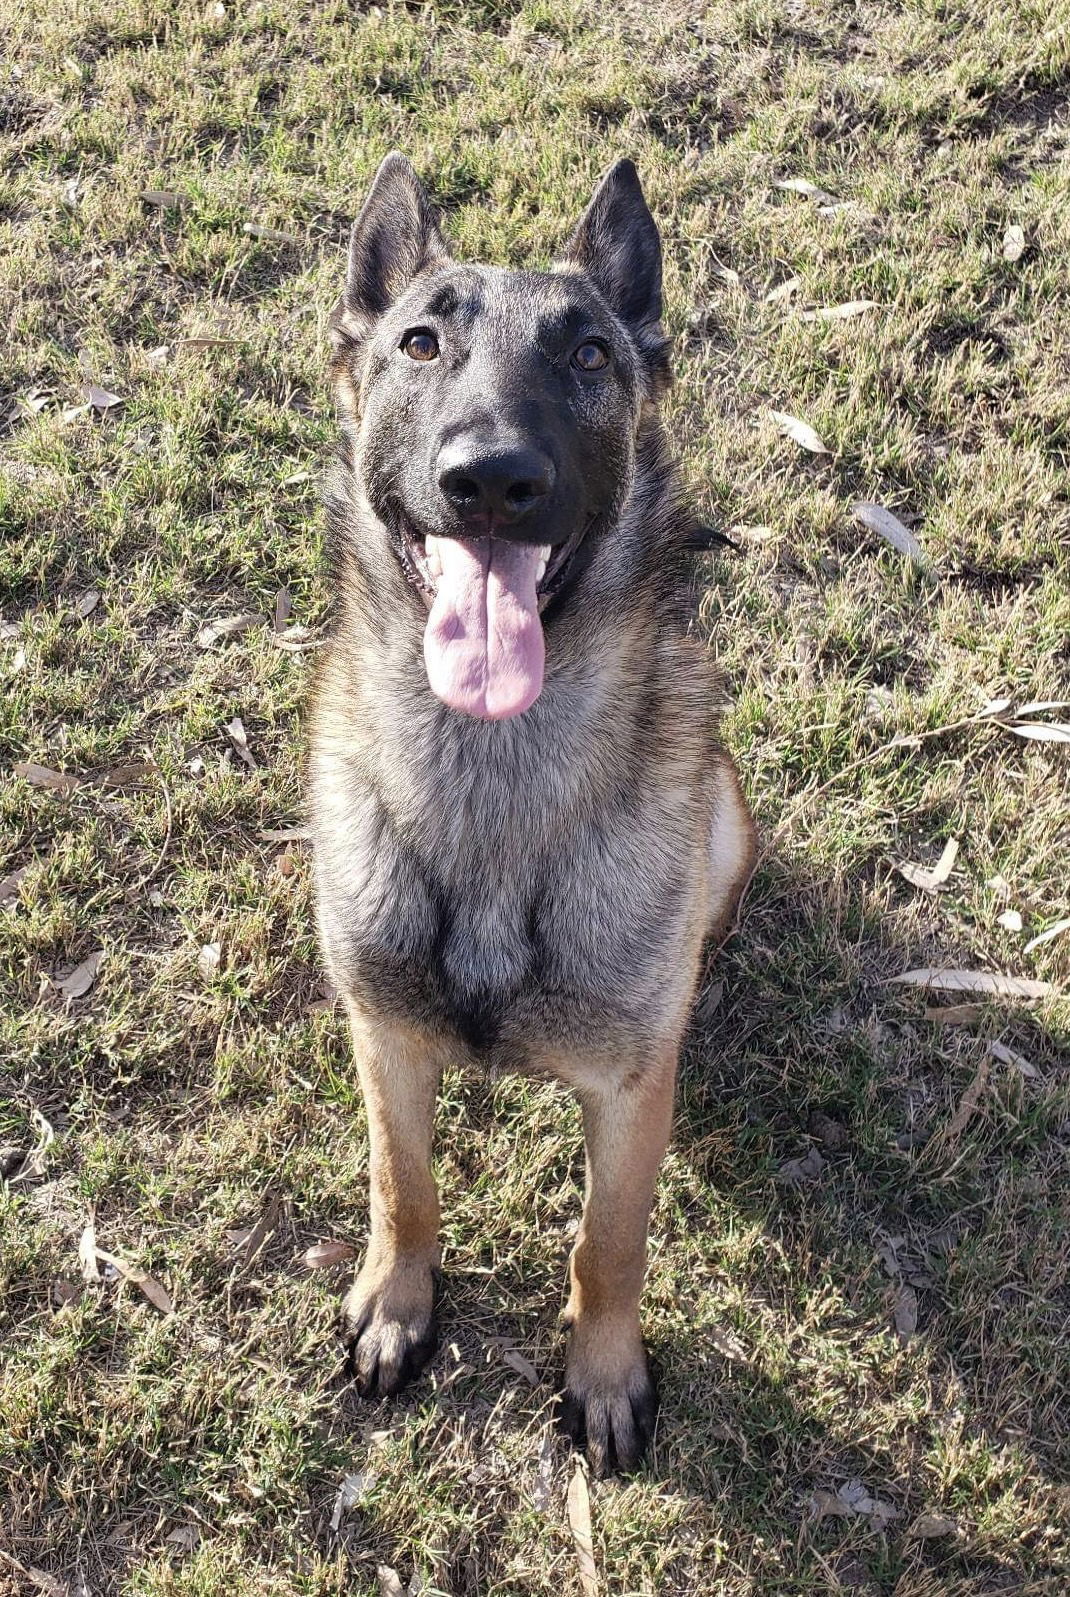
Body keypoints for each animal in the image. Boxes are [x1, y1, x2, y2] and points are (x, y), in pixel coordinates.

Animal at [309, 155, 760, 1475]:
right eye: (419, 341)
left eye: (588, 354)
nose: (493, 480)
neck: (491, 782)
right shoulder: (383, 1037)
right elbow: (401, 1181)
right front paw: (397, 1299)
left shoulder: (626, 1096)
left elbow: (608, 1244)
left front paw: (601, 1372)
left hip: (726, 821)